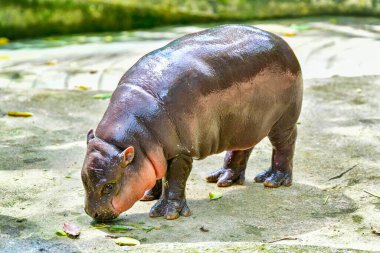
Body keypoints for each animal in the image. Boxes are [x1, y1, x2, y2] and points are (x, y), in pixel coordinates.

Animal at [81, 24, 302, 220]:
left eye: (109, 186)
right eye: (82, 178)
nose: (93, 214)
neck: (132, 139)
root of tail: (280, 40)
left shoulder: (180, 152)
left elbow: (174, 179)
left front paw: (168, 213)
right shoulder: (154, 152)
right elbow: (156, 173)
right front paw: (148, 195)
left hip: (283, 121)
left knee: (284, 145)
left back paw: (273, 180)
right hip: (243, 125)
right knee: (241, 148)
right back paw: (222, 179)